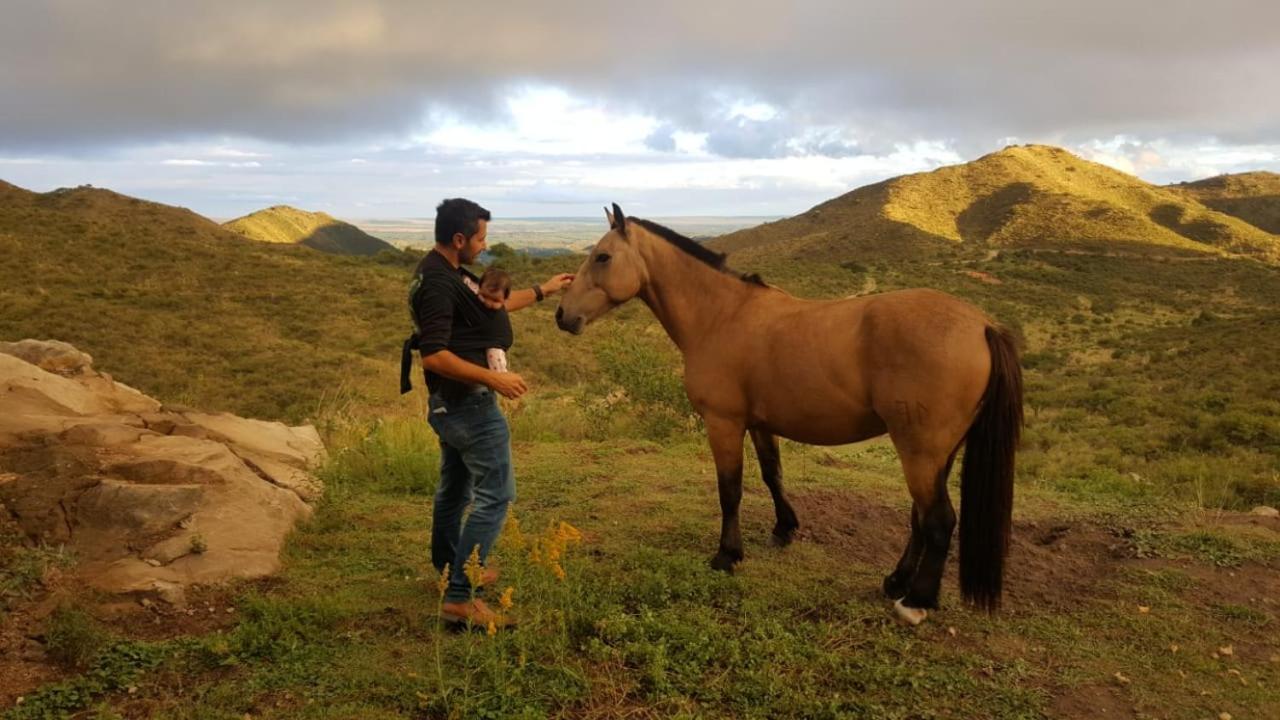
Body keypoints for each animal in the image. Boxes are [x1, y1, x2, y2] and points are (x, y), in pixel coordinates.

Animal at [555, 202, 1024, 622]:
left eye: (602, 256)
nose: (562, 315)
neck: (721, 316)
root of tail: (982, 325)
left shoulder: (723, 424)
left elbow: (730, 490)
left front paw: (727, 555)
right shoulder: (761, 424)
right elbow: (772, 475)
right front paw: (784, 529)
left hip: (920, 451)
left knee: (939, 521)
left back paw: (916, 601)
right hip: (938, 453)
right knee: (920, 518)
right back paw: (896, 581)